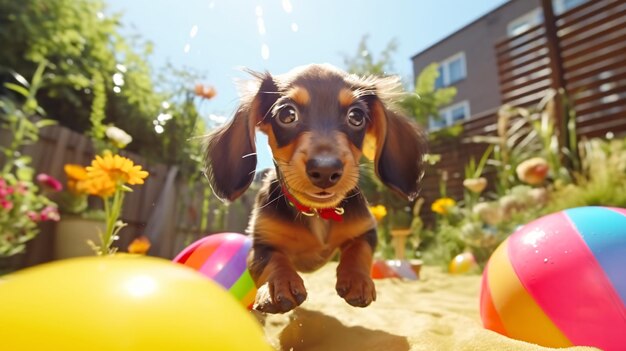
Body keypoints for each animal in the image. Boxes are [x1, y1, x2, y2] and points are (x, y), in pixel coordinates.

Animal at [205, 64, 424, 314]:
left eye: (356, 116)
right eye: (287, 114)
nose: (326, 170)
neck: (317, 212)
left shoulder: (366, 231)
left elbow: (358, 250)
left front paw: (357, 280)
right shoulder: (261, 244)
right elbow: (273, 260)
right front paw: (280, 284)